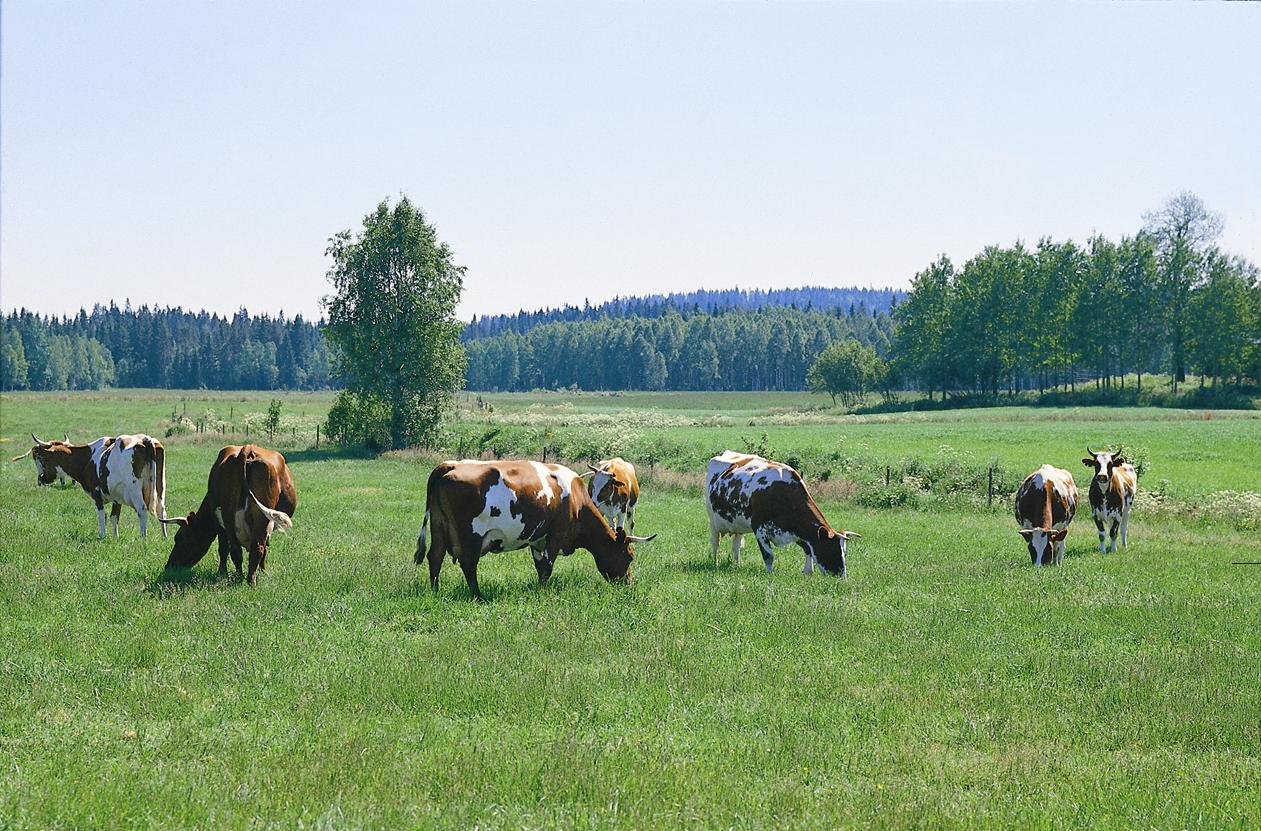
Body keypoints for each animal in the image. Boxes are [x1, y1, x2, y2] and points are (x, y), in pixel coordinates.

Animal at [12, 431, 168, 542]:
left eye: (41, 459)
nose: (41, 479)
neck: (88, 458)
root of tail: (145, 439)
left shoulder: (96, 492)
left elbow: (102, 515)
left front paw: (102, 535)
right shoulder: (116, 496)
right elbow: (114, 517)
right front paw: (115, 538)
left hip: (135, 490)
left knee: (142, 510)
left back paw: (143, 538)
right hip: (160, 485)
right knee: (162, 509)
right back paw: (164, 537)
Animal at [161, 441, 296, 585]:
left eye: (180, 538)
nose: (169, 566)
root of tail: (247, 449)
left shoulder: (218, 521)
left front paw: (222, 573)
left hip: (236, 517)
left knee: (244, 549)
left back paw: (244, 578)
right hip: (253, 517)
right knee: (251, 549)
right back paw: (246, 580)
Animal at [416, 459, 660, 600]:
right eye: (629, 557)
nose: (628, 584)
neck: (577, 501)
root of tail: (449, 465)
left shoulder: (536, 539)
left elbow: (539, 565)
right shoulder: (556, 535)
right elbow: (547, 566)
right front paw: (542, 592)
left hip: (439, 525)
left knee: (435, 556)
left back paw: (435, 591)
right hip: (471, 535)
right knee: (468, 564)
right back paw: (478, 595)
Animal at [701, 451, 857, 575]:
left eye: (845, 553)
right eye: (832, 549)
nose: (842, 578)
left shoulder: (798, 529)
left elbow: (808, 549)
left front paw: (807, 572)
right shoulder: (759, 528)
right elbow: (768, 555)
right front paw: (770, 575)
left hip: (737, 525)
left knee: (736, 546)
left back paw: (737, 565)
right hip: (713, 521)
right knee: (715, 544)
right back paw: (715, 563)